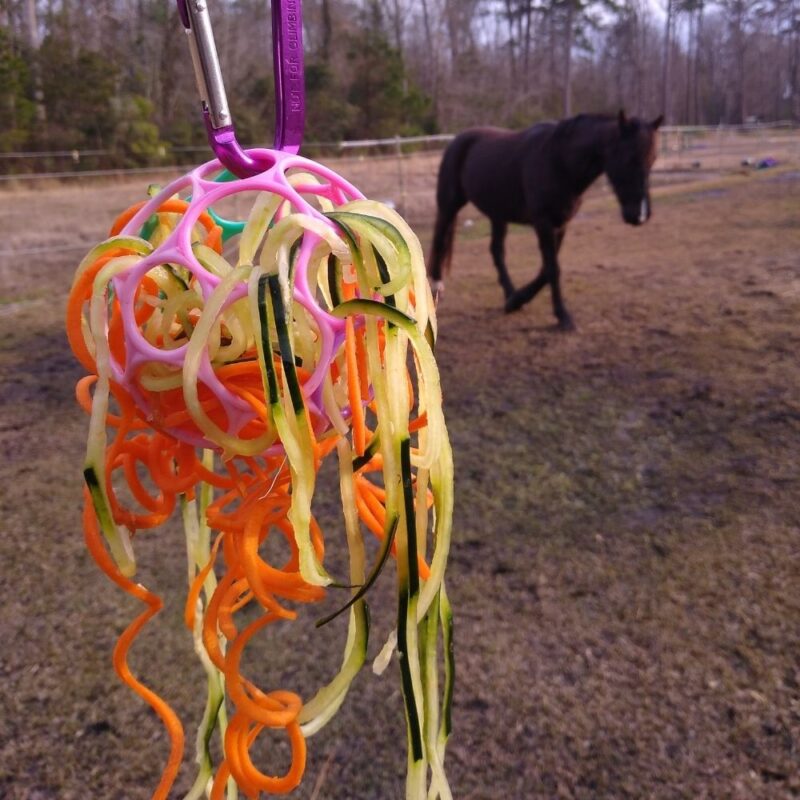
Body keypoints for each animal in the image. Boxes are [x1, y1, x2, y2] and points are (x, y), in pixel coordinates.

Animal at [428, 110, 664, 328]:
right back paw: (437, 285)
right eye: (629, 158)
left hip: (498, 214)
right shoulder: (543, 223)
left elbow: (547, 268)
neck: (559, 161)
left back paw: (510, 293)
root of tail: (458, 139)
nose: (640, 215)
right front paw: (563, 316)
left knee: (497, 252)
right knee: (440, 238)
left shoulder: (560, 224)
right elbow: (552, 268)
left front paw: (517, 300)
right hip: (449, 205)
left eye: (652, 159)